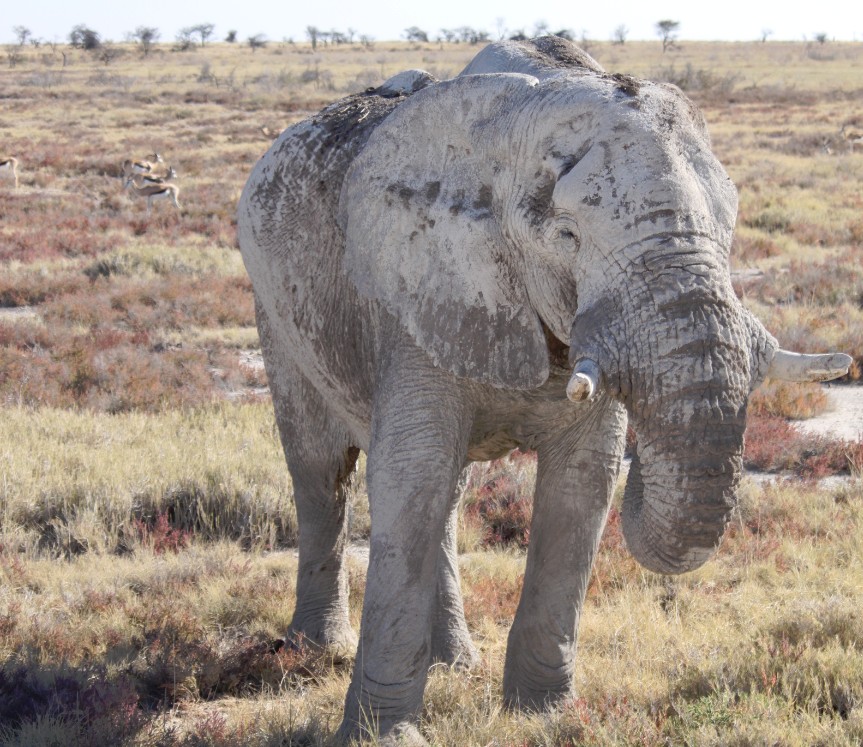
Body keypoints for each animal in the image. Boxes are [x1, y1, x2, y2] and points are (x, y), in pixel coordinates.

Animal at [236, 39, 852, 744]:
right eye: (567, 237)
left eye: (730, 229)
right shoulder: (416, 297)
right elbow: (410, 476)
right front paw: (383, 737)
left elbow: (582, 485)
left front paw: (545, 714)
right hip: (273, 311)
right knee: (321, 473)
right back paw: (314, 651)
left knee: (447, 494)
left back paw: (455, 663)